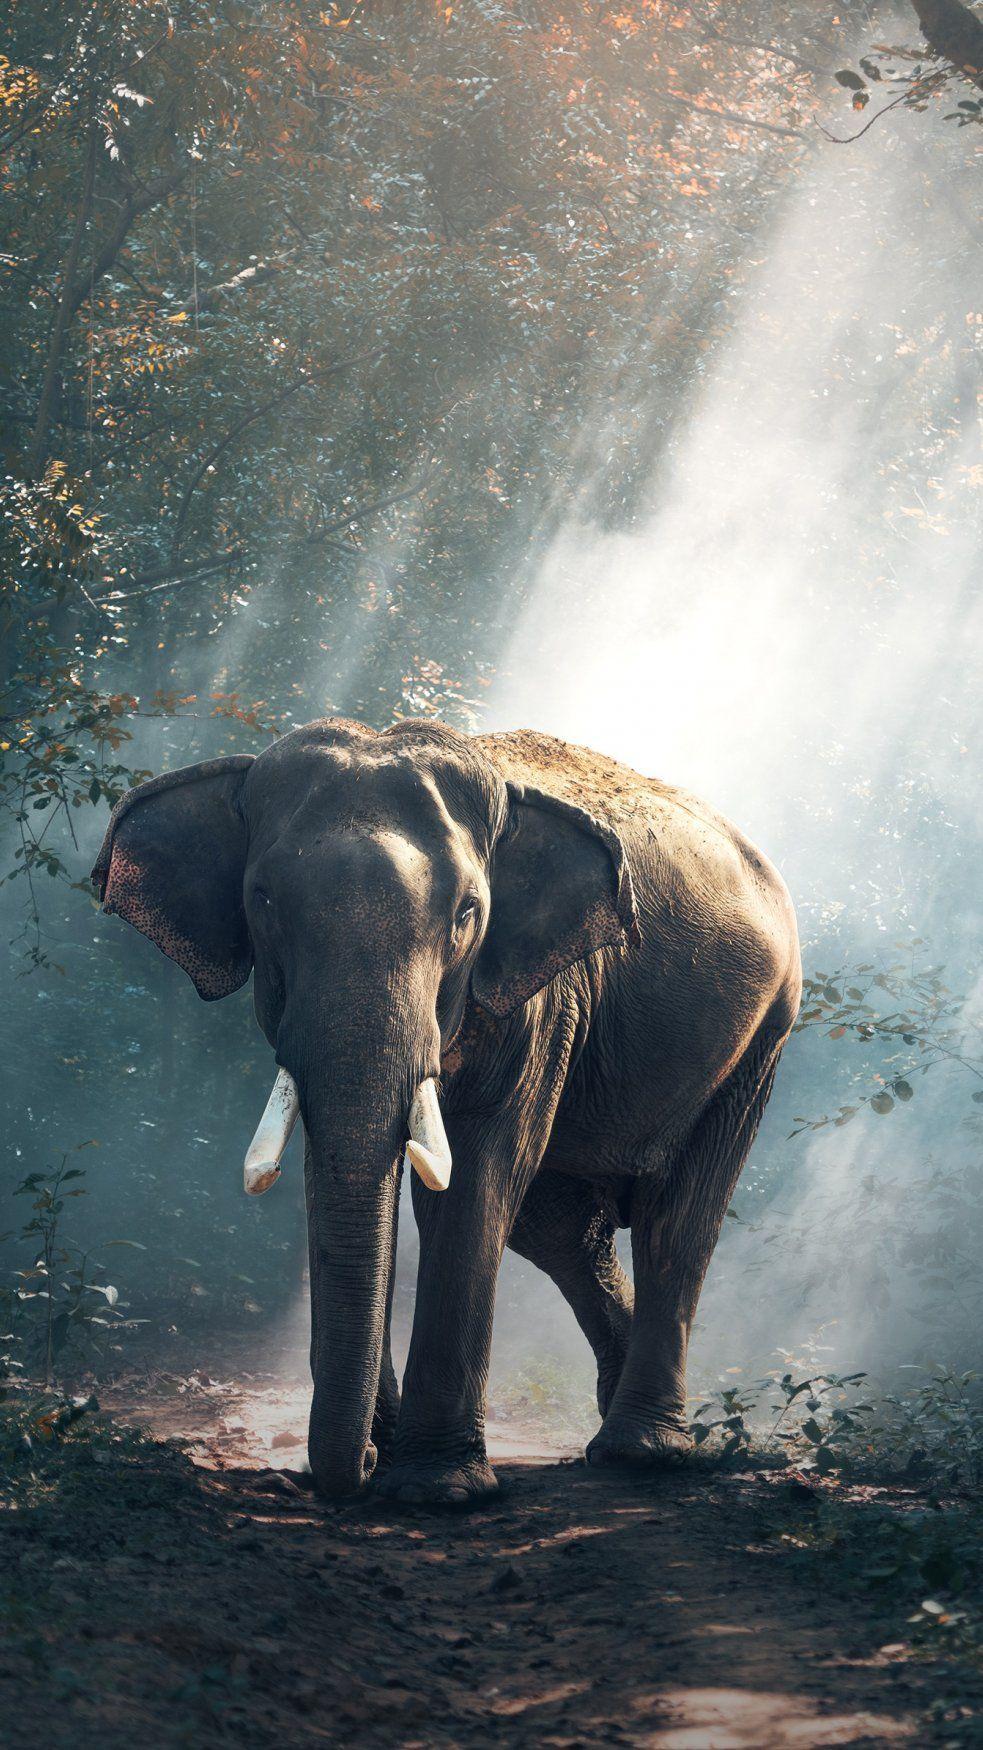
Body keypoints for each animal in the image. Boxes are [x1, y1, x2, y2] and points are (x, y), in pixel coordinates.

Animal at [91, 717, 800, 1505]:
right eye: (263, 901)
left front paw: (436, 1490)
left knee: (676, 1221)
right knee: (561, 1229)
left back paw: (640, 1453)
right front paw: (390, 1453)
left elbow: (477, 1176)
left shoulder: (541, 997)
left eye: (467, 913)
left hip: (761, 1037)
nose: (359, 1466)